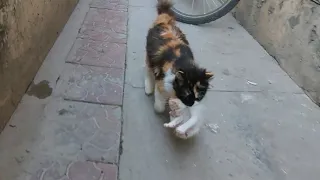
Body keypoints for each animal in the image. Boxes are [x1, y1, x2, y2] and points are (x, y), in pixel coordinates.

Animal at [144, 0, 212, 139]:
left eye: (200, 95)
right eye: (187, 94)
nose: (192, 104)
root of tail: (165, 19)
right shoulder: (162, 82)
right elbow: (159, 105)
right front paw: (163, 109)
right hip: (149, 57)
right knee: (147, 70)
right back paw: (148, 87)